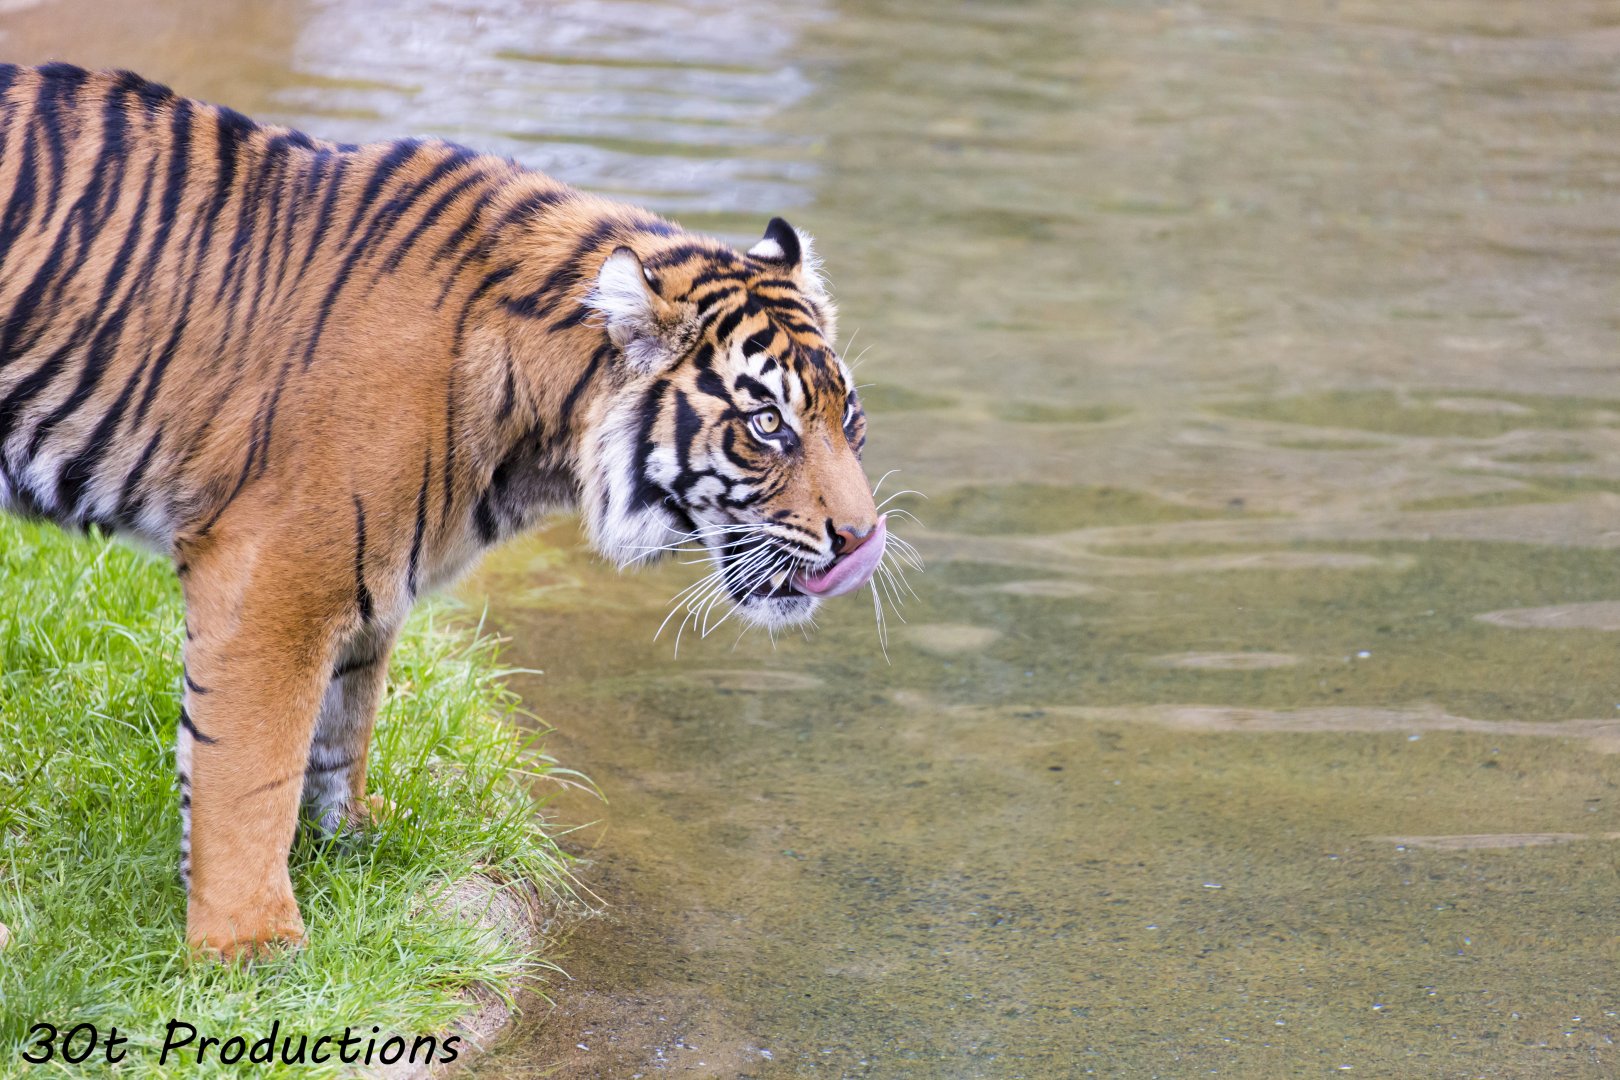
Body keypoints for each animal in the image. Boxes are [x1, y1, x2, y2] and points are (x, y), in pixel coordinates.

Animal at [0, 62, 894, 959]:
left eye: (847, 415)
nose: (860, 540)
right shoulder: (274, 575)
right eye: (768, 423)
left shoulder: (367, 580)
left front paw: (358, 838)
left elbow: (343, 723)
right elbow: (251, 766)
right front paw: (254, 945)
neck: (537, 439)